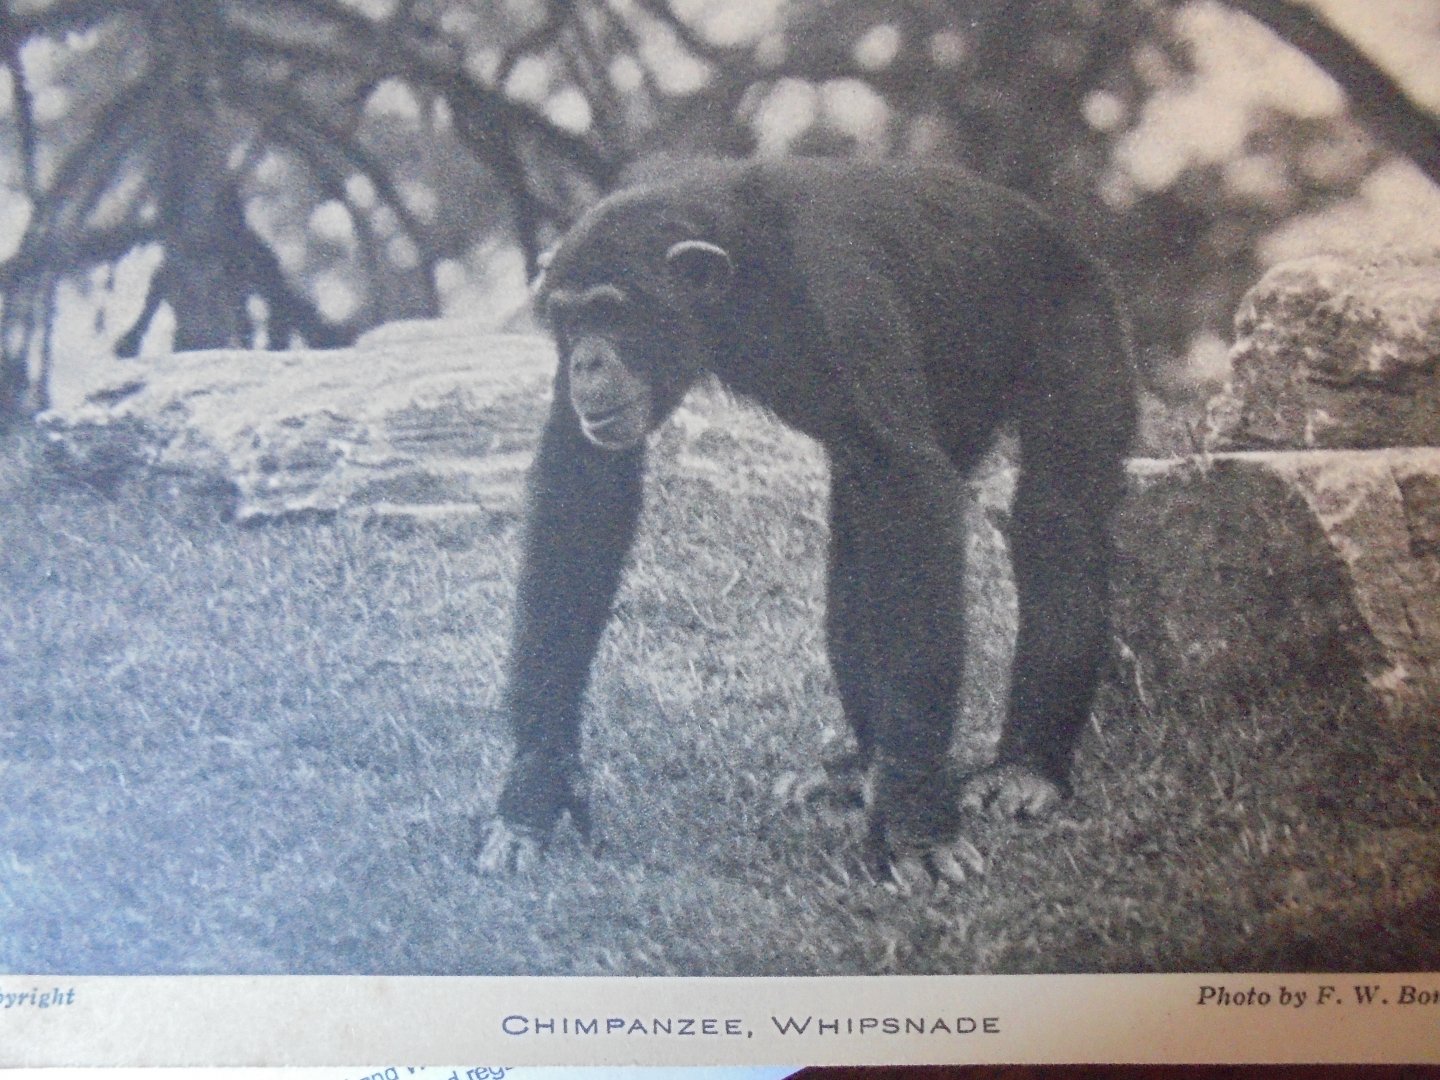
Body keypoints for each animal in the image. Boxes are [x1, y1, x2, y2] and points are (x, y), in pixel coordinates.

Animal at [478, 157, 1136, 885]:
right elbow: (583, 489)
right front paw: (536, 788)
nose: (586, 360)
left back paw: (1024, 768)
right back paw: (862, 772)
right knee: (857, 539)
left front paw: (916, 823)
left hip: (1081, 322)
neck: (738, 283)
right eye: (568, 320)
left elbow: (909, 486)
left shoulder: (838, 295)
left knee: (1055, 517)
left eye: (610, 312)